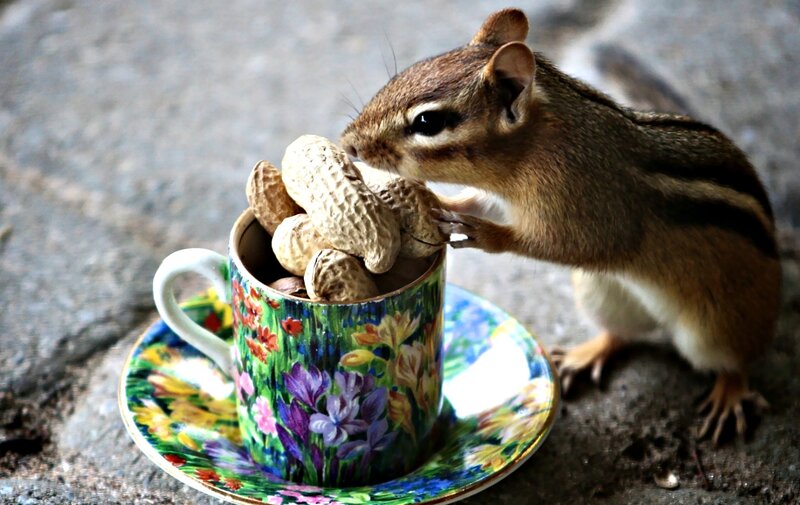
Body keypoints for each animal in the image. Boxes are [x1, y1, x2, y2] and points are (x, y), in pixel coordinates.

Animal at [340, 8, 780, 445]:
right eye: (403, 75)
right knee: (622, 333)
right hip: (601, 293)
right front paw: (435, 202)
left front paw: (483, 232)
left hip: (716, 326)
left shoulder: (589, 215)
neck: (537, 146)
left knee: (737, 360)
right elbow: (476, 200)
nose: (348, 144)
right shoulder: (506, 199)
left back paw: (729, 394)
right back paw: (586, 355)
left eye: (428, 121)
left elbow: (558, 244)